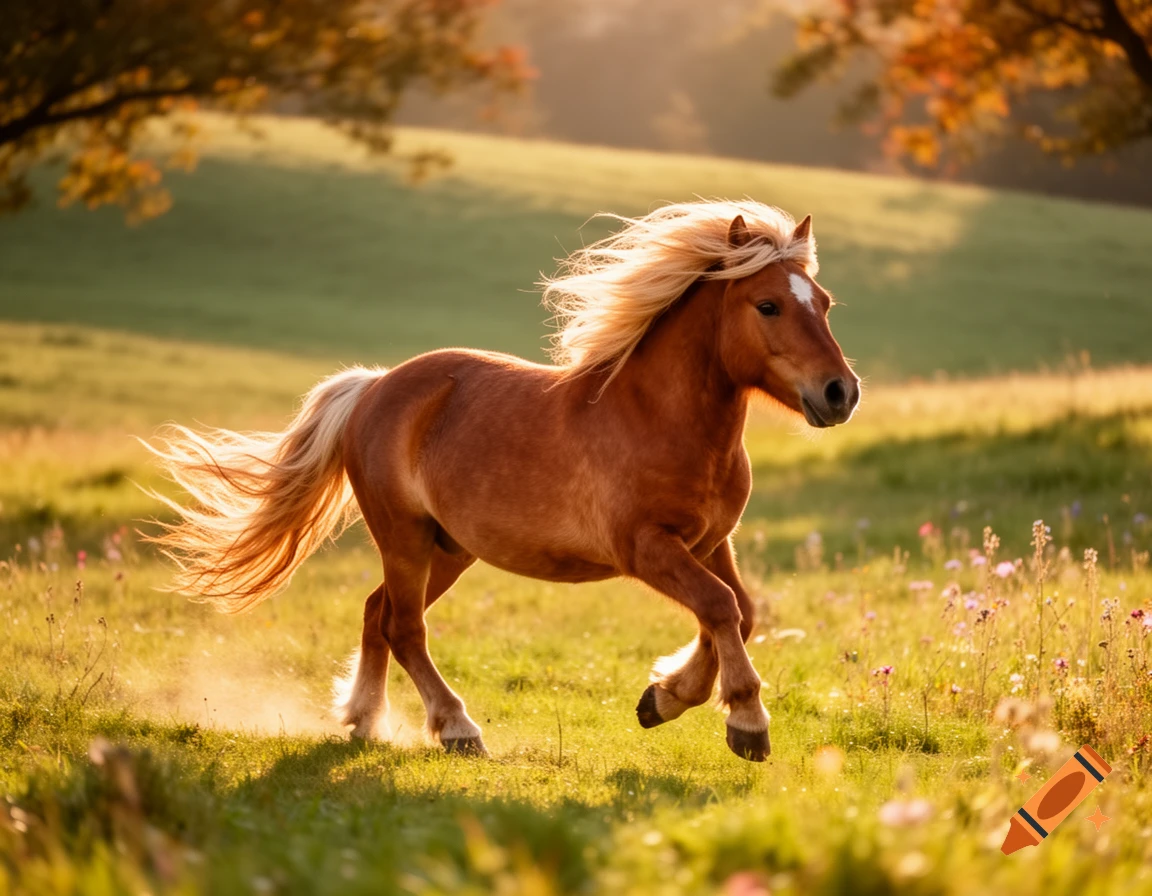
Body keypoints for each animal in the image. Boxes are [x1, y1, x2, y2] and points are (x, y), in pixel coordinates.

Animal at [145, 199, 860, 761]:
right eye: (767, 305)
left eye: (824, 303)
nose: (840, 392)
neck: (658, 419)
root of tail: (374, 386)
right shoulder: (646, 548)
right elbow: (718, 607)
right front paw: (746, 723)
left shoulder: (710, 541)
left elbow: (740, 610)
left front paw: (663, 697)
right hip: (404, 537)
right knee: (404, 627)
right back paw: (458, 729)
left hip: (449, 548)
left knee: (379, 614)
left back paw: (365, 722)